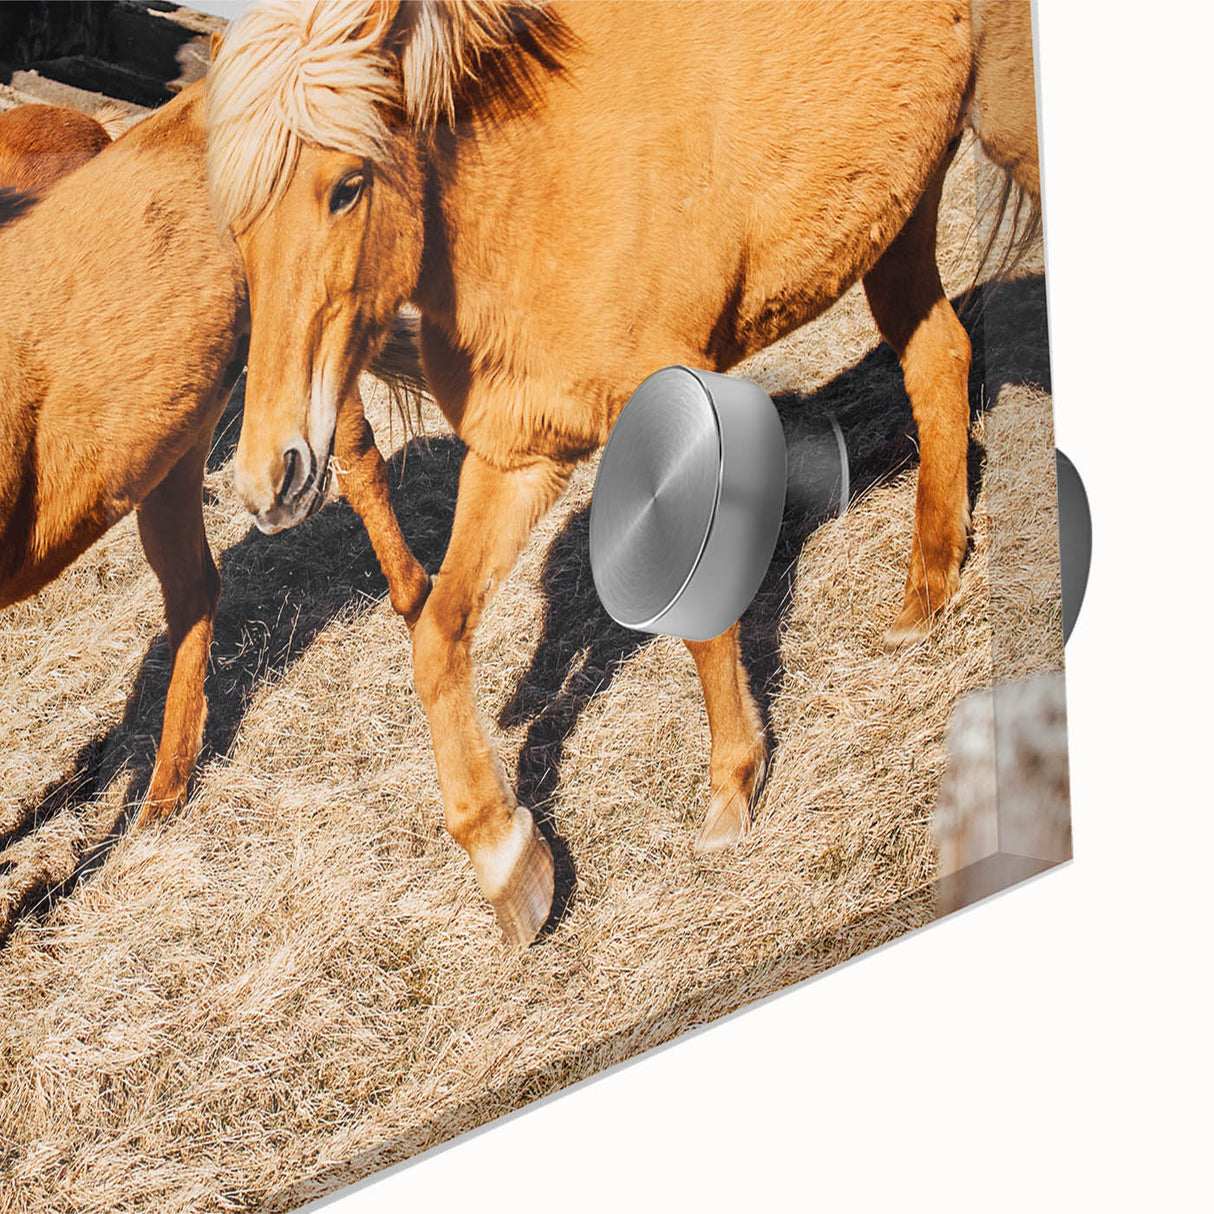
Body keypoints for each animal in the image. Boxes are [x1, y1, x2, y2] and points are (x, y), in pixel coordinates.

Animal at [205, 0, 1042, 946]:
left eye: (346, 187)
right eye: (236, 228)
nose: (271, 478)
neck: (538, 193)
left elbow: (701, 617)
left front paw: (730, 792)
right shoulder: (519, 456)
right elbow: (436, 636)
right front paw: (508, 862)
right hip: (897, 217)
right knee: (940, 362)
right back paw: (925, 594)